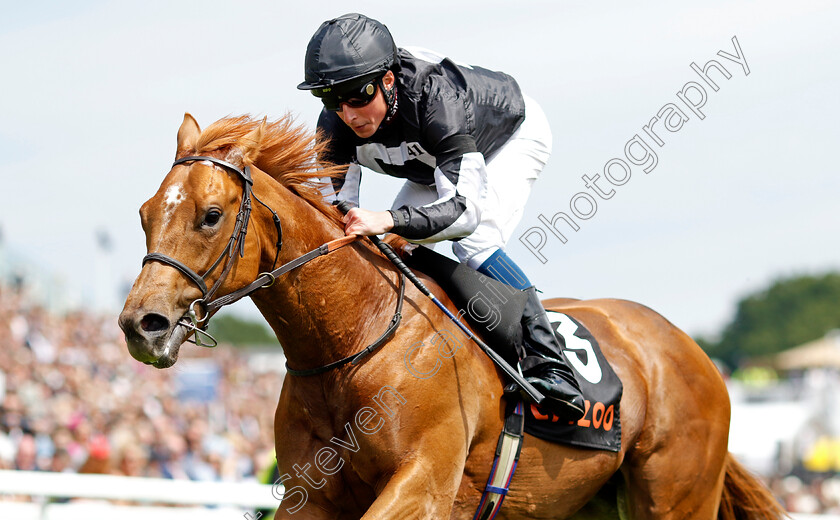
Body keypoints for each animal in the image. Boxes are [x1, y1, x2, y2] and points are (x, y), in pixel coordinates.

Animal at [120, 115, 788, 520]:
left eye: (210, 215)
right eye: (145, 212)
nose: (141, 325)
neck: (354, 340)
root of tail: (691, 350)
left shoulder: (425, 485)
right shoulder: (312, 494)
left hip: (675, 497)